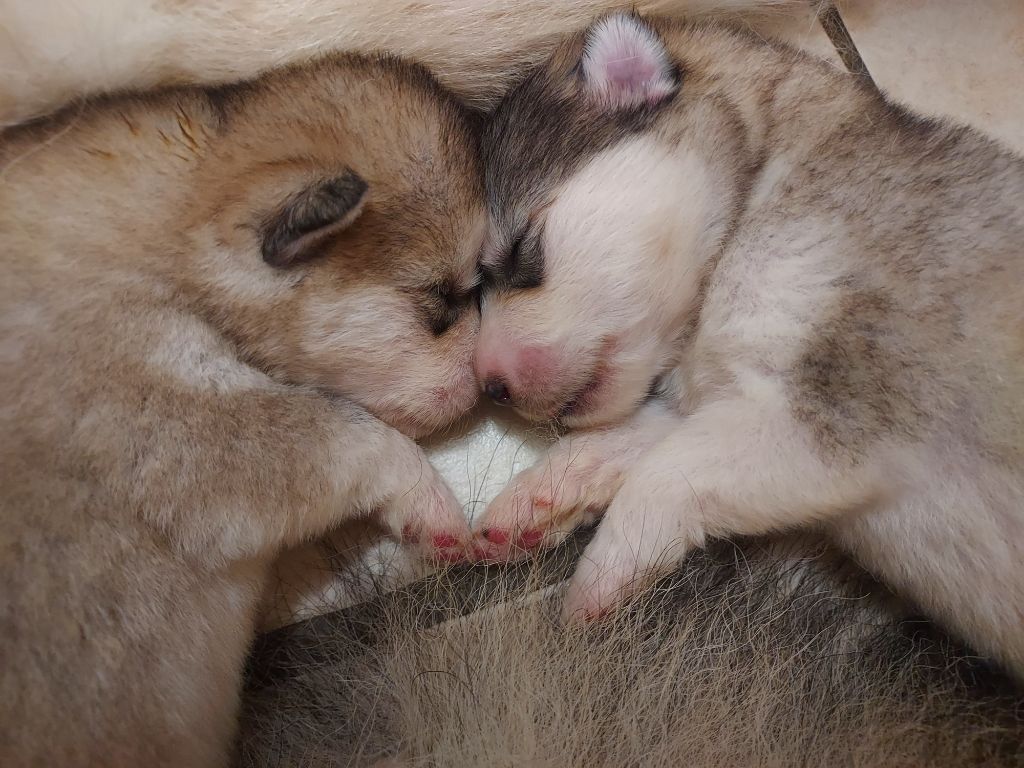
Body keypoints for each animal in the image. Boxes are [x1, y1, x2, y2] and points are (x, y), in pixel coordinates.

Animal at [471, 13, 1024, 679]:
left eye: (520, 251)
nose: (489, 384)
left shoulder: (831, 419)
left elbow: (661, 474)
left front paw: (601, 575)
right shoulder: (729, 408)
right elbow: (631, 443)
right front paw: (538, 497)